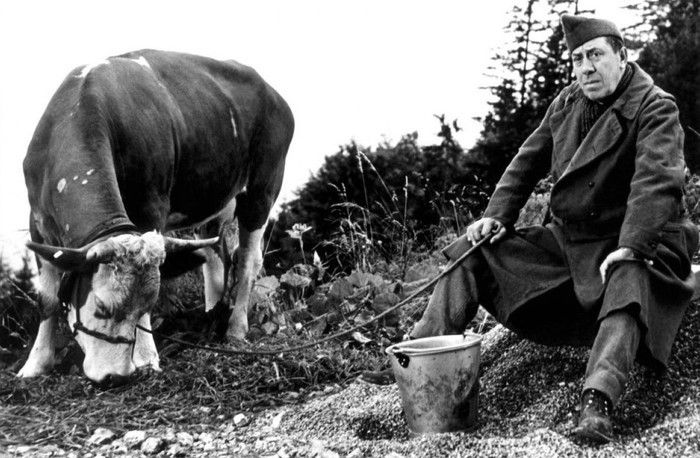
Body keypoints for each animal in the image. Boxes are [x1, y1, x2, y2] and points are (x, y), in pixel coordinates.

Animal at [16, 50, 294, 384]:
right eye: (101, 306)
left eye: (146, 304)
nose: (117, 376)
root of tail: (272, 92)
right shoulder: (38, 223)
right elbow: (46, 298)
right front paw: (35, 365)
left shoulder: (152, 208)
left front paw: (147, 358)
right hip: (214, 202)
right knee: (215, 262)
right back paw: (211, 319)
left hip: (262, 191)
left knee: (248, 262)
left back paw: (235, 328)